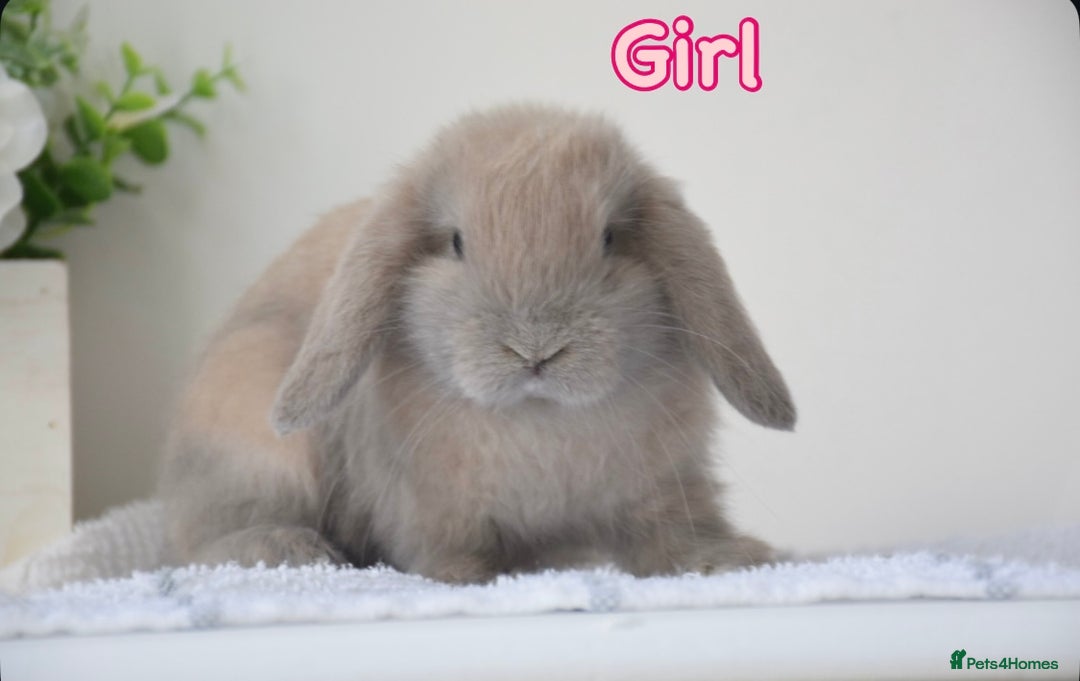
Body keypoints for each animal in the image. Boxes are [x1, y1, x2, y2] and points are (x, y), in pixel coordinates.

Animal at [158, 103, 796, 583]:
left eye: (610, 238)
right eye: (457, 243)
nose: (535, 349)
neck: (538, 418)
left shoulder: (666, 488)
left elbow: (677, 537)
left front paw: (735, 558)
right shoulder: (432, 508)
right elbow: (447, 549)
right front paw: (465, 578)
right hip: (255, 436)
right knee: (206, 539)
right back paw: (291, 547)